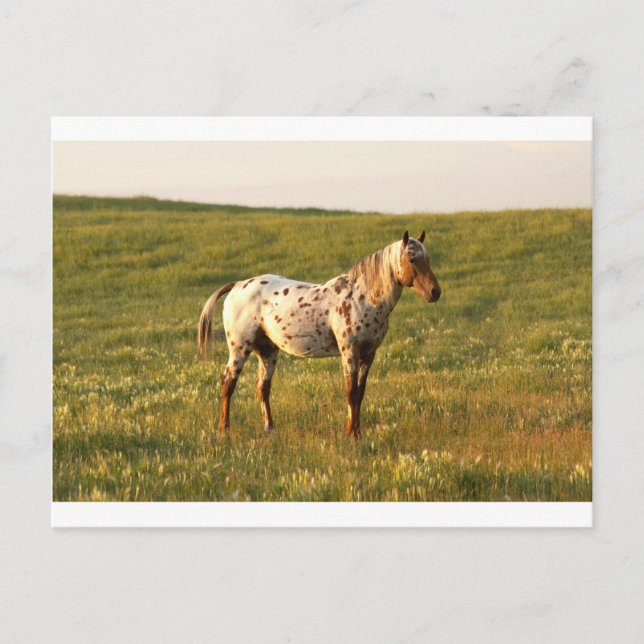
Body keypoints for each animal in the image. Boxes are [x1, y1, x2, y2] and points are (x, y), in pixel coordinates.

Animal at [198, 230, 441, 438]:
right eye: (412, 259)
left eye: (428, 259)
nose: (435, 292)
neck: (362, 297)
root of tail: (237, 285)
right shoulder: (349, 352)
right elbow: (351, 392)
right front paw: (352, 434)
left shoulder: (369, 354)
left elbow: (360, 394)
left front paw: (358, 432)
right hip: (240, 348)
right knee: (228, 383)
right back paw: (224, 429)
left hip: (267, 351)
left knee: (262, 388)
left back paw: (269, 429)